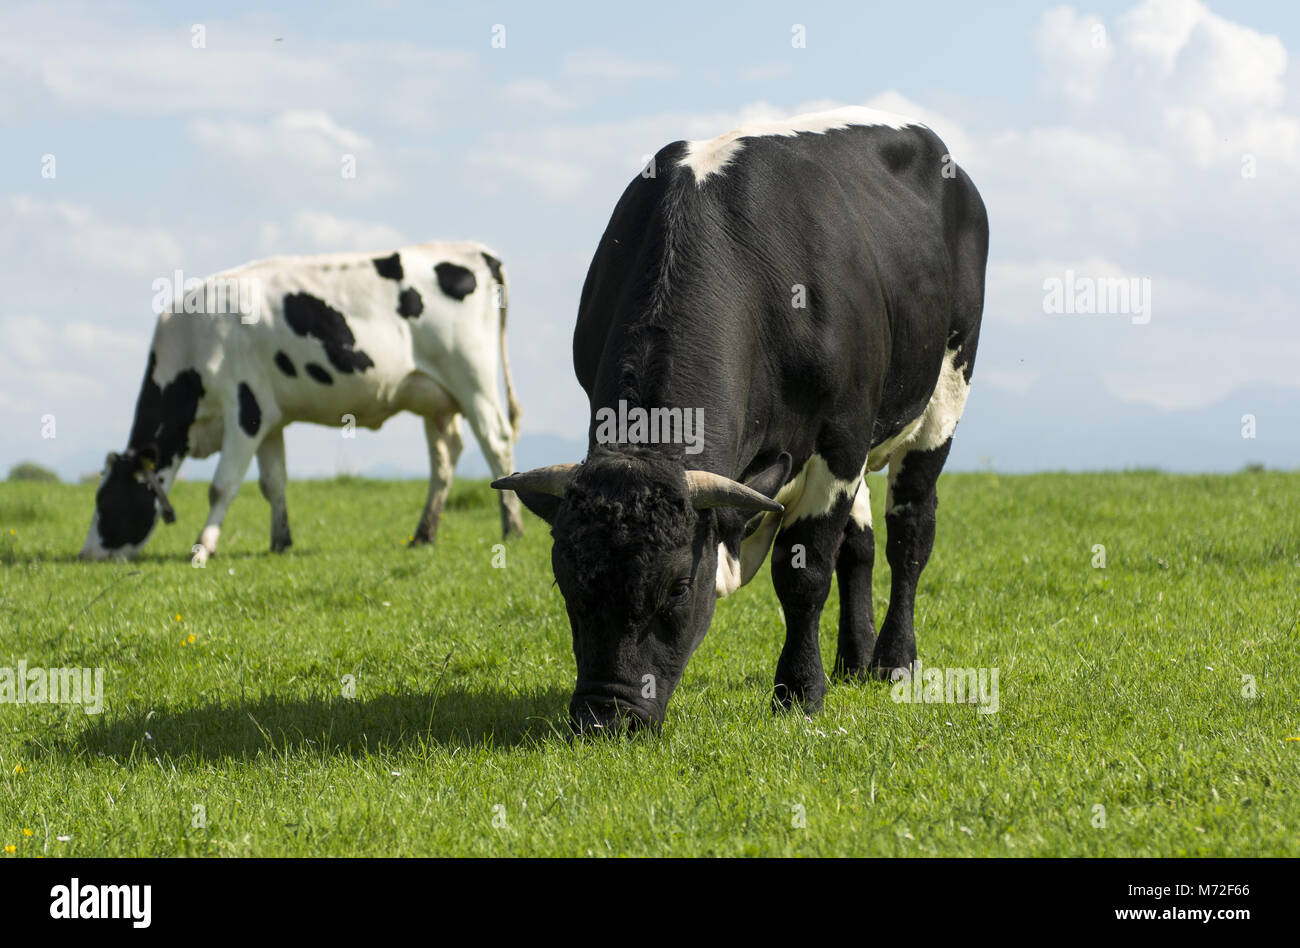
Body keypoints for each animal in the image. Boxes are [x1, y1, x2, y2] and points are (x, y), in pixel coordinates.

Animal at [80, 240, 524, 562]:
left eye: (107, 501)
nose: (87, 554)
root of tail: (476, 250)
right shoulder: (268, 416)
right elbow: (273, 483)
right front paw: (280, 542)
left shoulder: (244, 409)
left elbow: (222, 486)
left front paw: (203, 548)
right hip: (436, 398)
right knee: (446, 459)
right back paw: (423, 535)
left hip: (473, 378)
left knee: (496, 442)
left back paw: (512, 528)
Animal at [493, 106, 988, 734]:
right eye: (567, 580)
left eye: (680, 587)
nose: (607, 717)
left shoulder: (841, 436)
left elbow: (803, 572)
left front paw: (798, 692)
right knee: (860, 545)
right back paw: (853, 660)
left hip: (943, 394)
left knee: (910, 533)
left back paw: (894, 661)